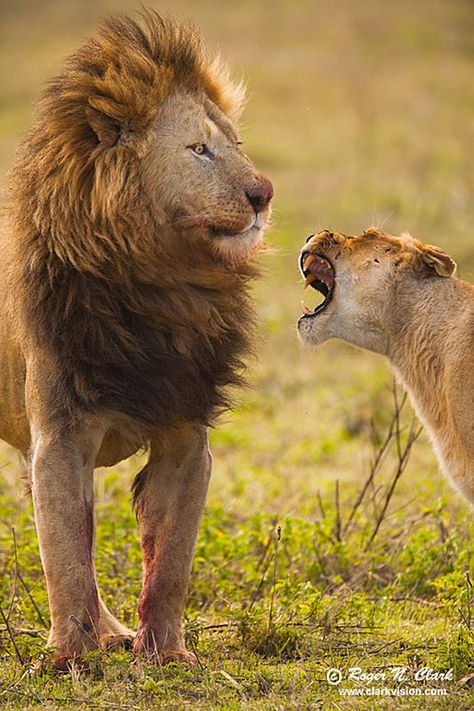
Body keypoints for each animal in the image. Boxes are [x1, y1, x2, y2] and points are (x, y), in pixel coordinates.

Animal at [0, 9, 272, 668]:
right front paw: (70, 658)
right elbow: (66, 560)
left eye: (236, 146)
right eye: (199, 150)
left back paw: (116, 632)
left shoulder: (186, 433)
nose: (263, 195)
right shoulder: (61, 438)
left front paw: (165, 654)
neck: (160, 289)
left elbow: (170, 561)